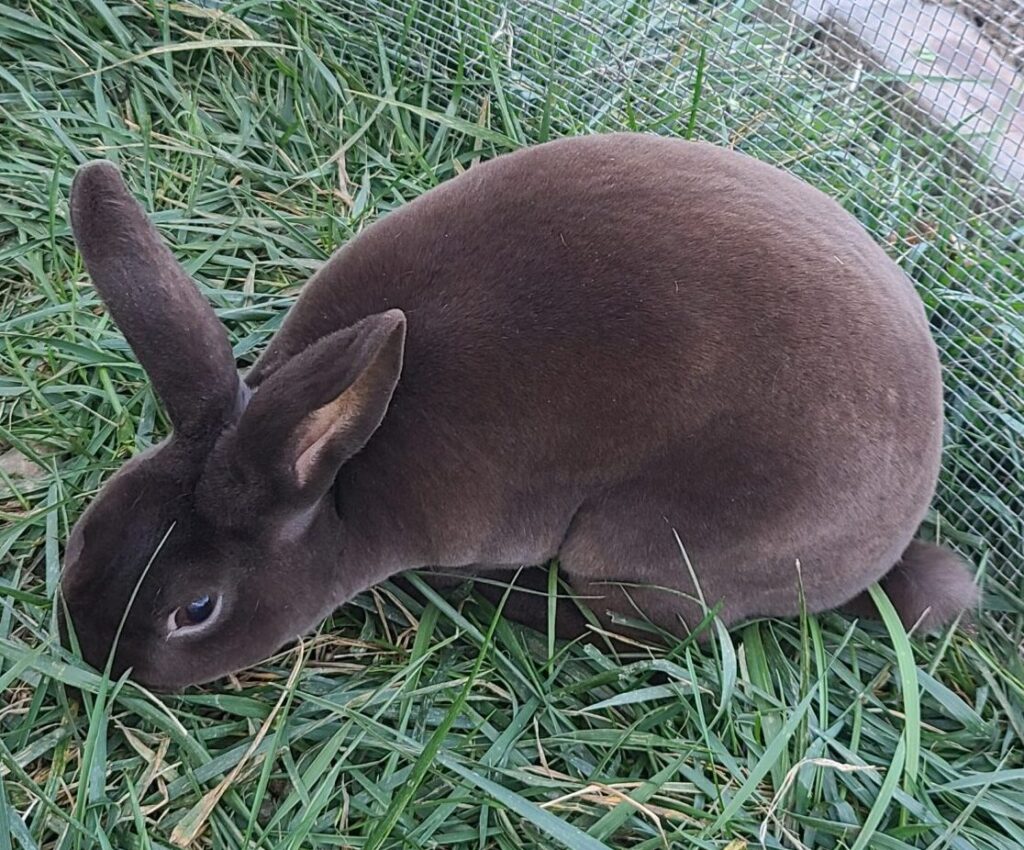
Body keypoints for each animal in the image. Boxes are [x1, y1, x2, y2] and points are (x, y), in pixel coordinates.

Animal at [59, 132, 978, 691]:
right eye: (85, 530)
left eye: (196, 612)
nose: (97, 655)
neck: (341, 485)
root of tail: (885, 552)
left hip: (639, 552)